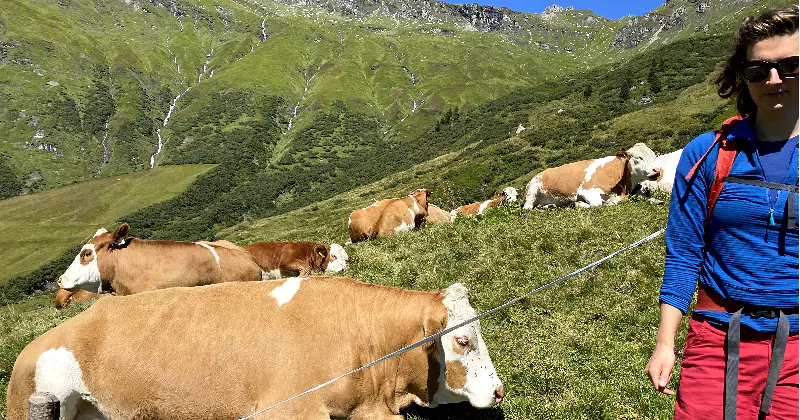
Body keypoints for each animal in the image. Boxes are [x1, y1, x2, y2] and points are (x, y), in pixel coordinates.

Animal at [523, 143, 660, 209]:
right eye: (639, 157)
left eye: (655, 156)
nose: (657, 170)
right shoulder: (586, 190)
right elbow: (598, 203)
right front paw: (579, 204)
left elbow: (647, 197)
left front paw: (656, 200)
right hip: (532, 191)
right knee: (528, 207)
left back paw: (550, 206)